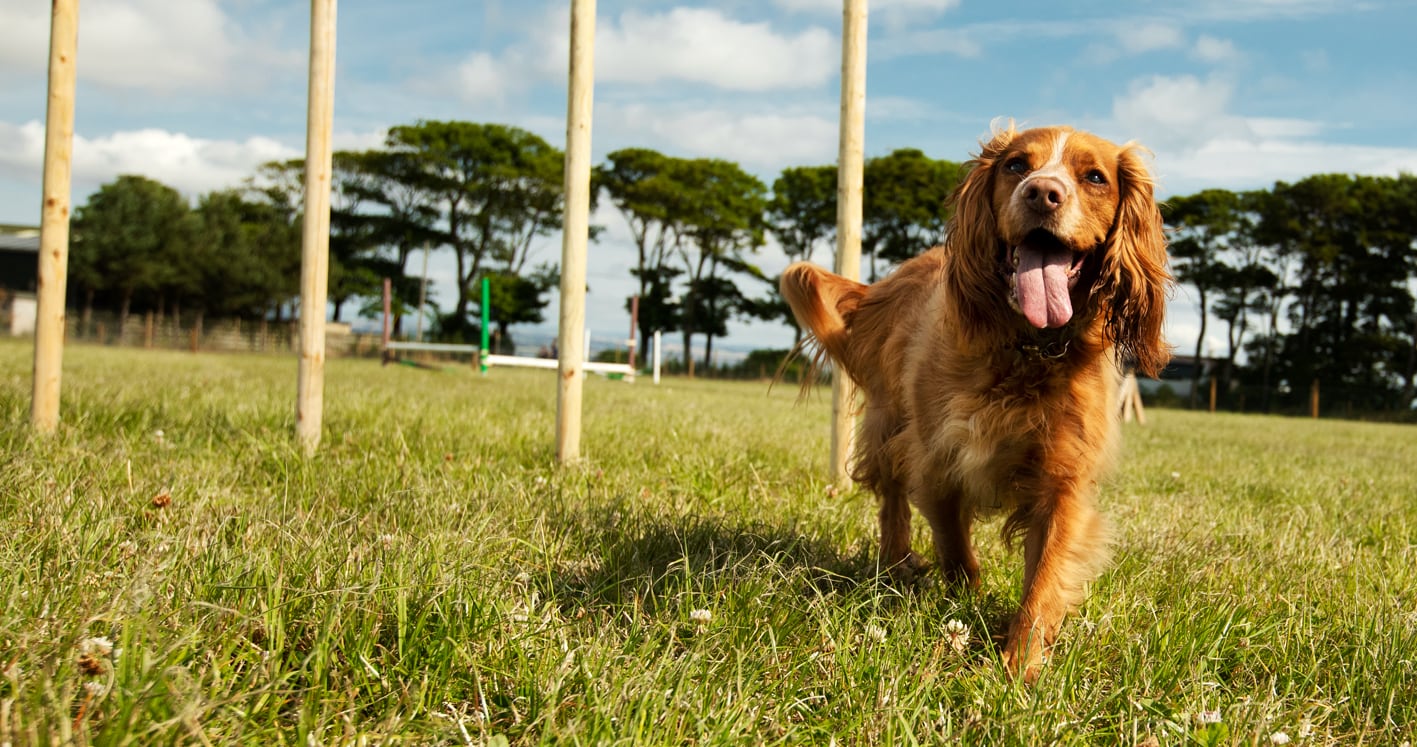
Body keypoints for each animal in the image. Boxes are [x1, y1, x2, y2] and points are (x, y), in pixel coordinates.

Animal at [782, 124, 1167, 683]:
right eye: (1016, 166)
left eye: (1095, 177)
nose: (1042, 193)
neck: (1026, 347)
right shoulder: (937, 459)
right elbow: (954, 547)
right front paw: (964, 600)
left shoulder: (1064, 482)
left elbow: (1044, 579)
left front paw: (1019, 667)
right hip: (888, 424)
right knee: (890, 500)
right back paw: (894, 566)